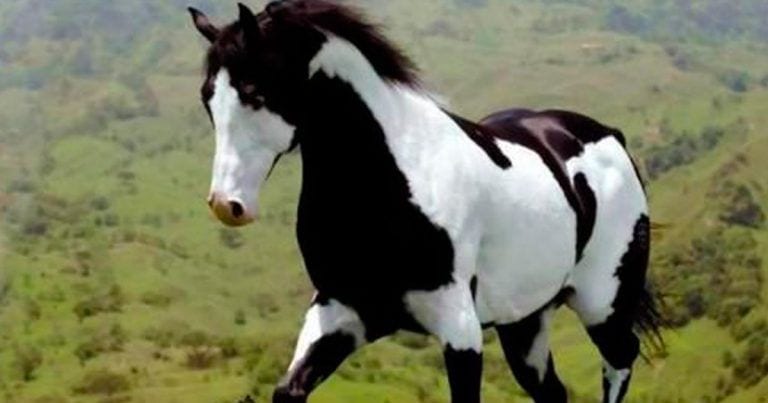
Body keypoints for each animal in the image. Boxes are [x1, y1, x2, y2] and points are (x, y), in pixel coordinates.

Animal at [188, 1, 662, 402]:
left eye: (255, 92)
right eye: (208, 97)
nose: (228, 204)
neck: (394, 185)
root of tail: (610, 136)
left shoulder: (459, 328)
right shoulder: (341, 312)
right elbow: (288, 390)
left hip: (603, 304)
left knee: (620, 359)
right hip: (526, 321)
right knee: (552, 391)